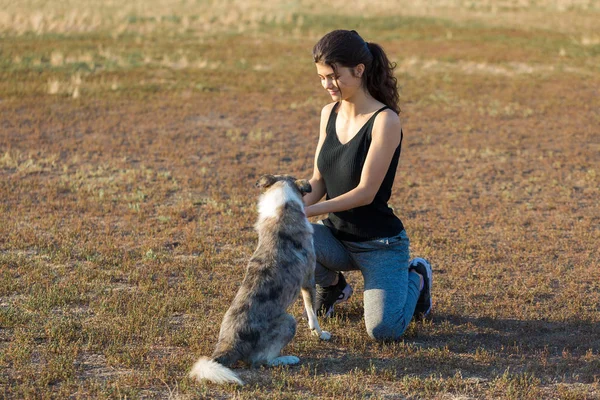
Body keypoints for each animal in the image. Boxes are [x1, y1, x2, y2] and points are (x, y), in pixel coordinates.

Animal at [190, 174, 330, 384]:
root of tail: (229, 345)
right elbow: (312, 314)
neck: (283, 209)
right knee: (261, 361)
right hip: (288, 320)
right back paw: (287, 359)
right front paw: (320, 334)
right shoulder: (308, 281)